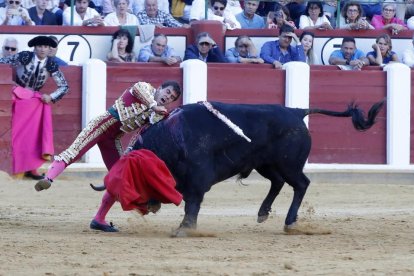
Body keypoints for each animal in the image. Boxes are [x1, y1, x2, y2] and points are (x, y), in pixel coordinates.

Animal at [131, 101, 384, 233]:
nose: (144, 205)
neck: (171, 139)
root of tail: (295, 111)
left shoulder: (197, 179)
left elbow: (192, 203)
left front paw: (184, 229)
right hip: (266, 164)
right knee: (278, 182)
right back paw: (263, 213)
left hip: (288, 164)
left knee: (301, 184)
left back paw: (290, 222)